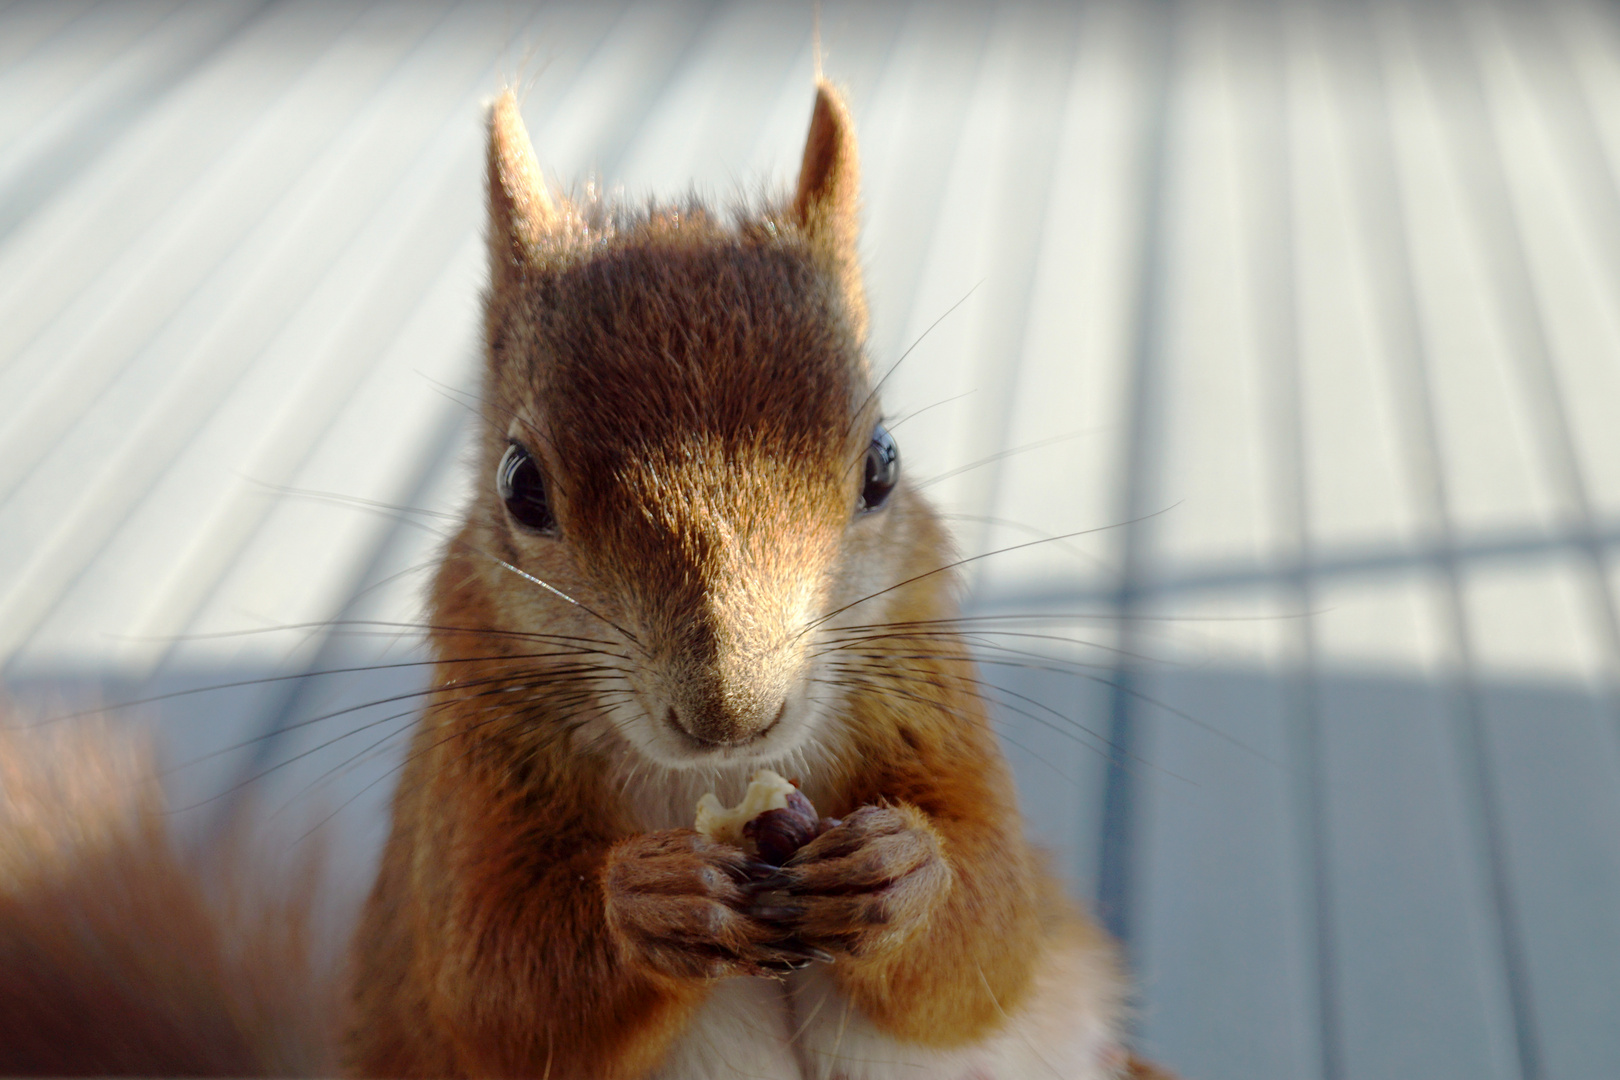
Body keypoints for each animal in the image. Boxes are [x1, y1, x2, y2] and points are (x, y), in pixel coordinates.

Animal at [0, 80, 1179, 1075]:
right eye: (521, 483)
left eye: (883, 464)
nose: (732, 714)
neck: (726, 782)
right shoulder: (465, 788)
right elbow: (493, 982)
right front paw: (652, 900)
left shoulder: (935, 701)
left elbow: (997, 933)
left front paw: (900, 872)